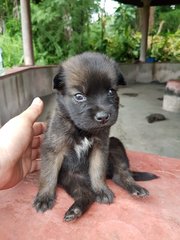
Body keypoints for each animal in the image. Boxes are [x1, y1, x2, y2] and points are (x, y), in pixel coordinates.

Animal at [33, 52, 158, 221]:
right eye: (79, 96)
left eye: (111, 92)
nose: (103, 117)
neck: (82, 130)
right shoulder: (53, 149)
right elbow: (48, 175)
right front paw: (44, 197)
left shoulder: (101, 147)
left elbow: (97, 171)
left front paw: (101, 190)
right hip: (72, 178)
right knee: (86, 194)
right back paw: (75, 210)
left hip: (115, 145)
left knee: (121, 174)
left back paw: (135, 188)